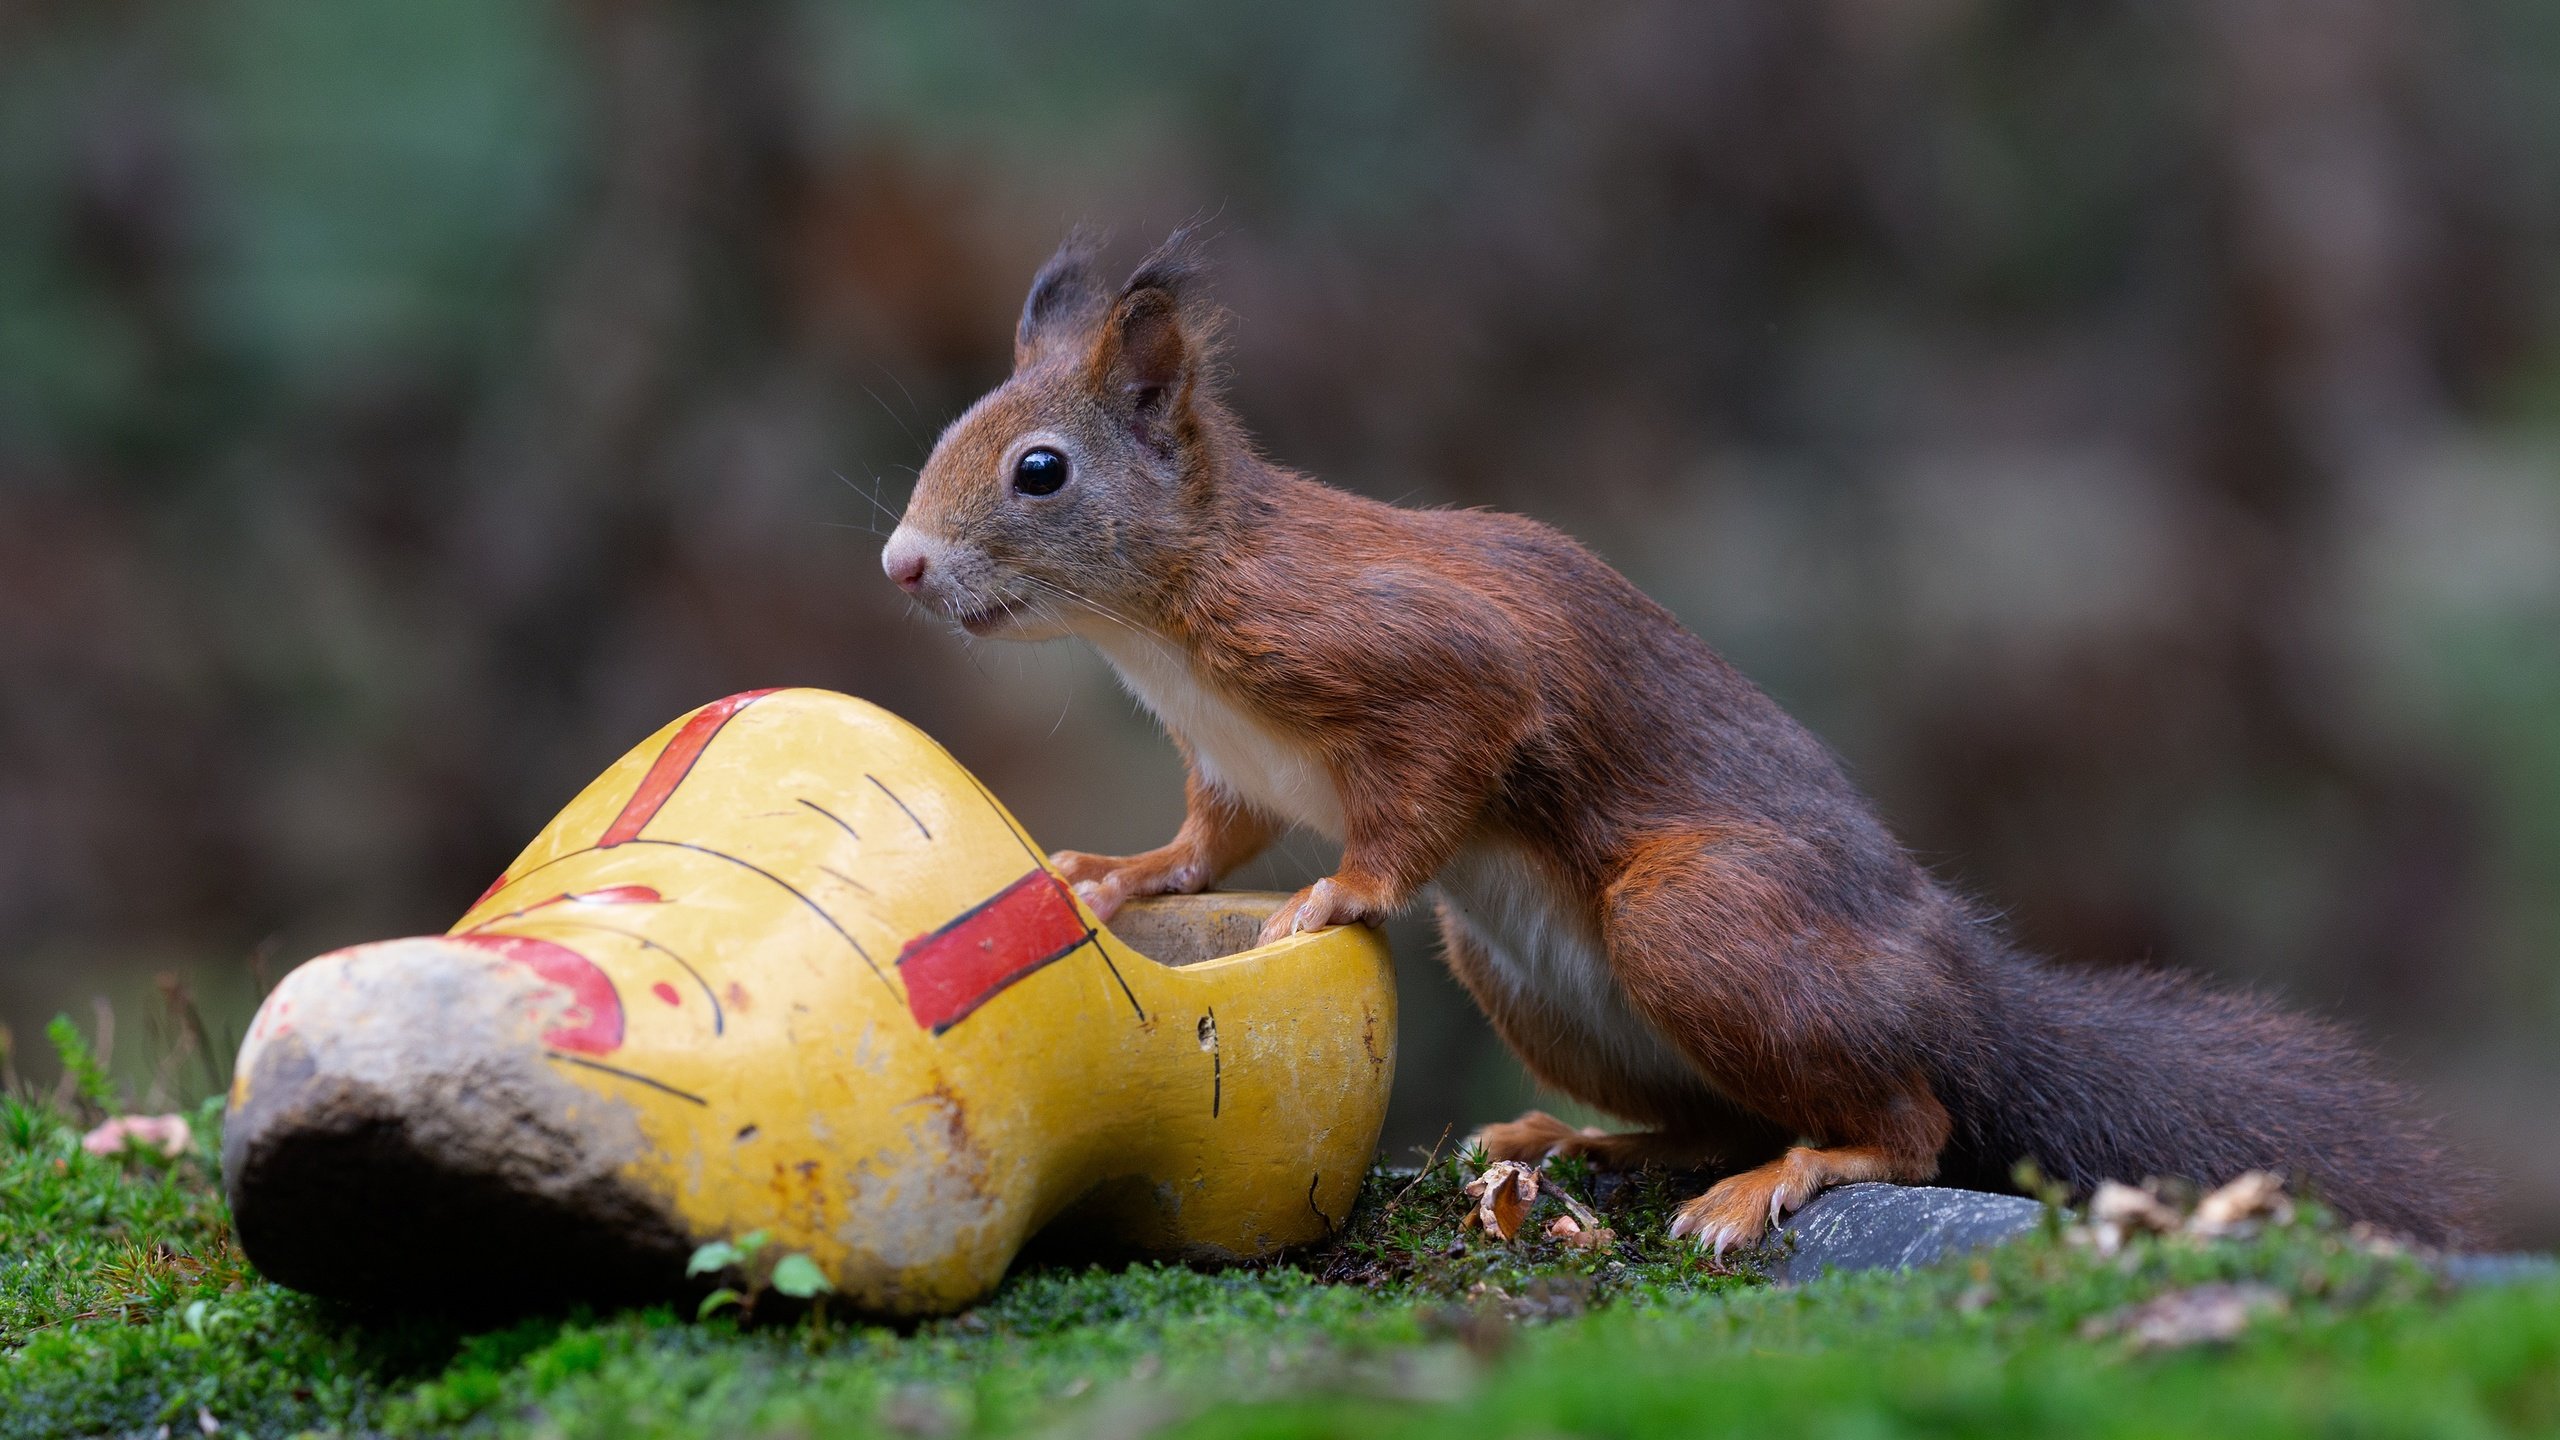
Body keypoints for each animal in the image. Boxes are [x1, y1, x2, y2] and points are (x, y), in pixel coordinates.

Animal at [880, 229, 2478, 1250]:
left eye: (1039, 471)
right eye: (954, 431)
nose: (900, 567)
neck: (1165, 621)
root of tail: (1962, 992)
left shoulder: (1423, 665)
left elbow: (1420, 798)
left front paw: (1334, 897)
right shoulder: (1234, 768)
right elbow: (1207, 843)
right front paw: (1116, 873)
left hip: (1701, 916)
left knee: (1908, 1120)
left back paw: (1784, 1175)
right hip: (1544, 984)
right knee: (1720, 1111)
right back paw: (1582, 1144)